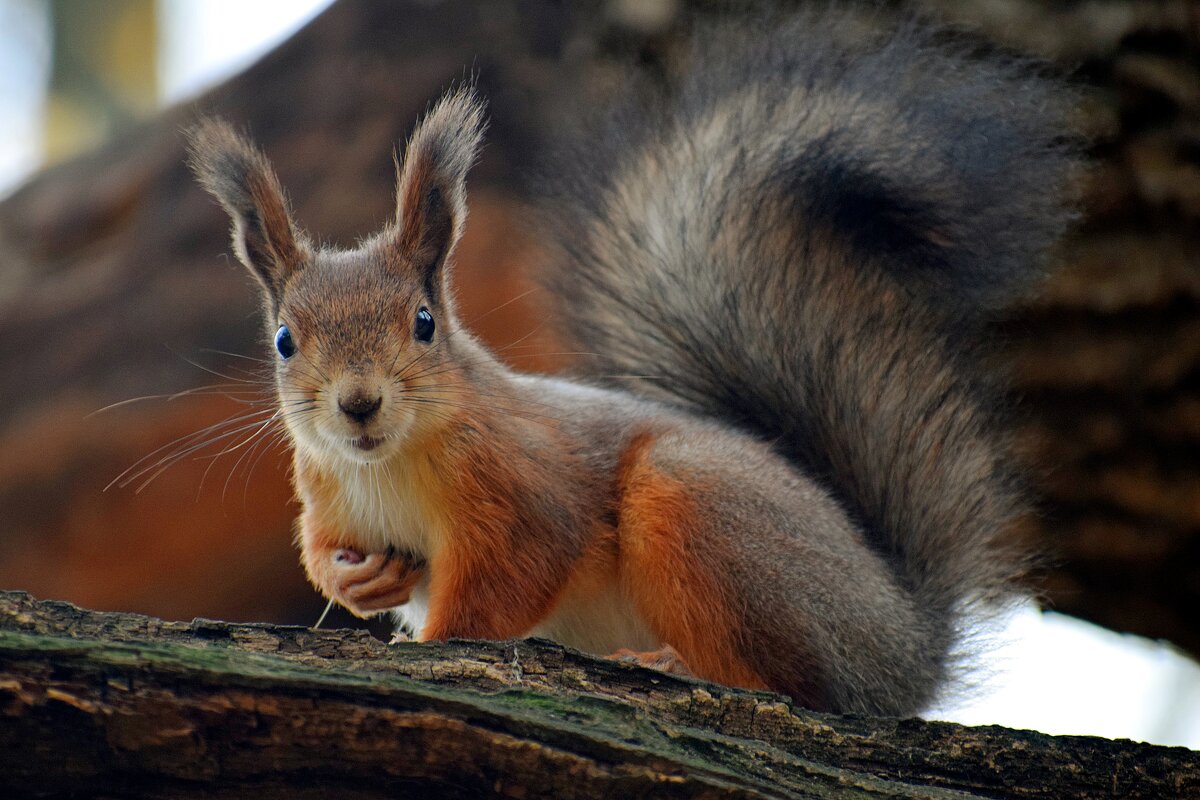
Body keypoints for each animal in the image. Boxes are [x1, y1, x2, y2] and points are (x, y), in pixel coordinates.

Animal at [187, 9, 1080, 714]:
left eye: (424, 323)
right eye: (284, 341)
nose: (358, 404)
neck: (388, 464)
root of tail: (904, 641)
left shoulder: (528, 489)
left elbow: (508, 583)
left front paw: (433, 641)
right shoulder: (329, 493)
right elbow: (325, 555)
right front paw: (358, 585)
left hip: (702, 507)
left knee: (800, 685)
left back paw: (681, 666)